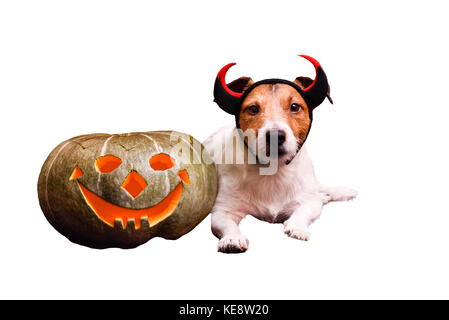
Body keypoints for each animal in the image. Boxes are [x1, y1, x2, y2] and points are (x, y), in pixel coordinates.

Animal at [204, 56, 356, 254]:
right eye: (253, 109)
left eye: (295, 106)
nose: (276, 136)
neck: (273, 171)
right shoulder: (223, 209)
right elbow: (225, 222)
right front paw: (232, 238)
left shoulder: (308, 200)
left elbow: (304, 210)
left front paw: (297, 227)